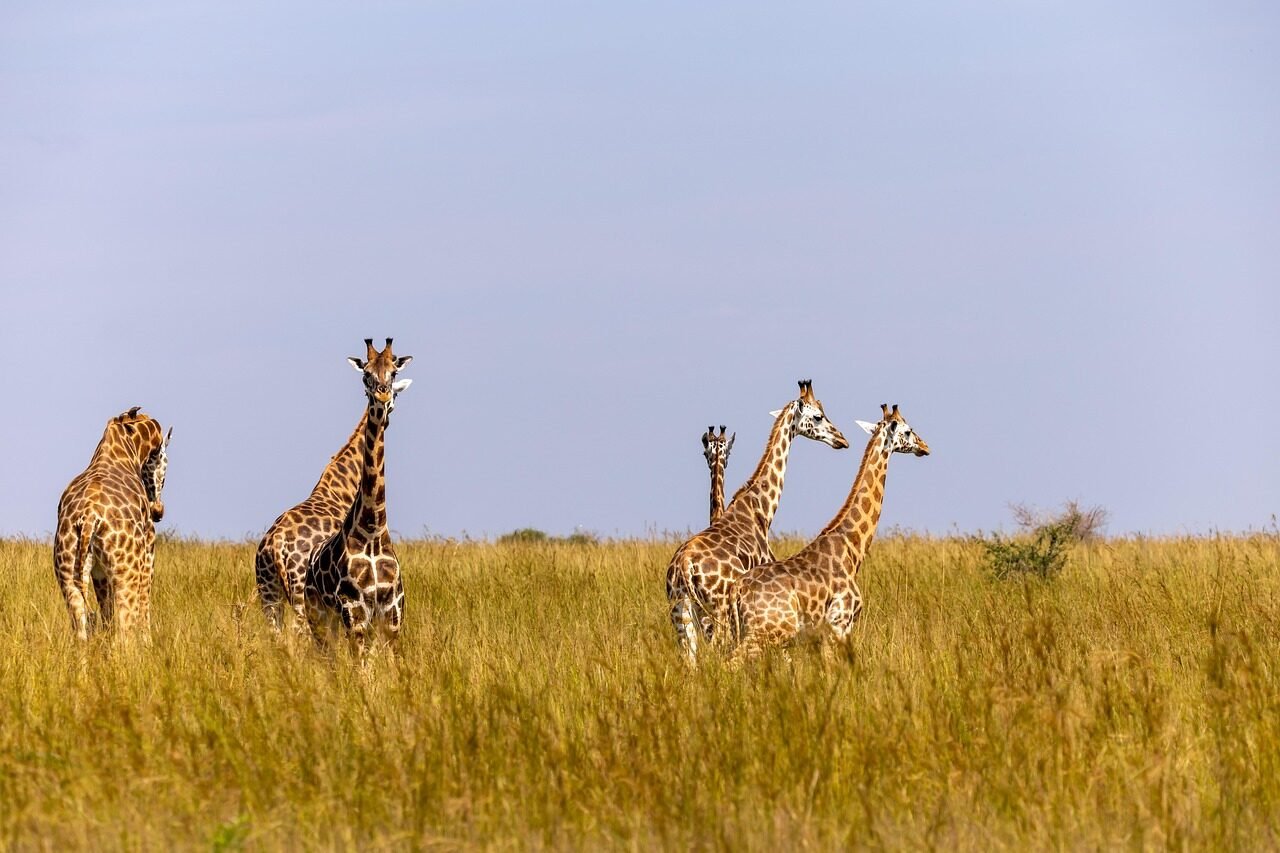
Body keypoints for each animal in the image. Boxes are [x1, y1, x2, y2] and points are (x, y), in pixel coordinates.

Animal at [53, 407, 171, 640]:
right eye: (164, 461)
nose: (158, 512)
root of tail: (89, 517)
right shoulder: (148, 553)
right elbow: (144, 607)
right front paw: (148, 643)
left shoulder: (98, 572)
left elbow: (106, 614)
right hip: (126, 574)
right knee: (124, 631)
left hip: (67, 574)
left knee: (81, 629)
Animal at [304, 338, 413, 656]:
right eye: (366, 374)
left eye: (393, 371)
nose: (382, 394)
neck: (373, 530)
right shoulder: (354, 612)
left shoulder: (392, 615)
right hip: (319, 617)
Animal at [665, 380, 850, 664]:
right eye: (818, 416)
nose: (841, 439)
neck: (761, 509)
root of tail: (685, 566)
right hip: (717, 611)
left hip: (680, 612)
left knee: (691, 660)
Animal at [728, 404, 930, 661]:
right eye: (907, 431)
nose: (925, 446)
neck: (852, 546)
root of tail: (737, 590)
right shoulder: (840, 624)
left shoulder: (820, 635)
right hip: (768, 631)